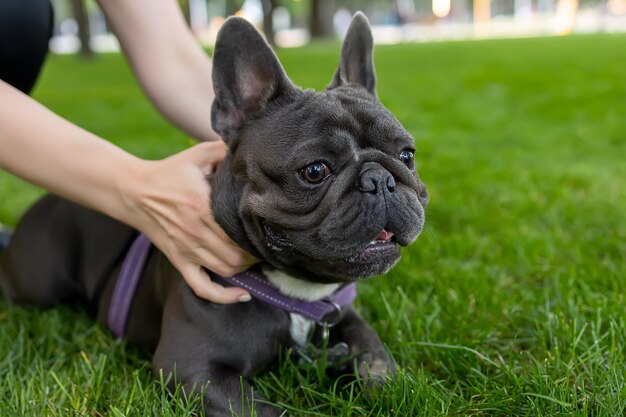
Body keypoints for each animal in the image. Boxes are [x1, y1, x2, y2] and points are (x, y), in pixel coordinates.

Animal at [0, 13, 426, 416]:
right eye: (315, 170)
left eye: (407, 155)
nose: (380, 179)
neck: (297, 292)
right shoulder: (193, 367)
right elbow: (262, 411)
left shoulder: (350, 323)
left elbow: (378, 362)